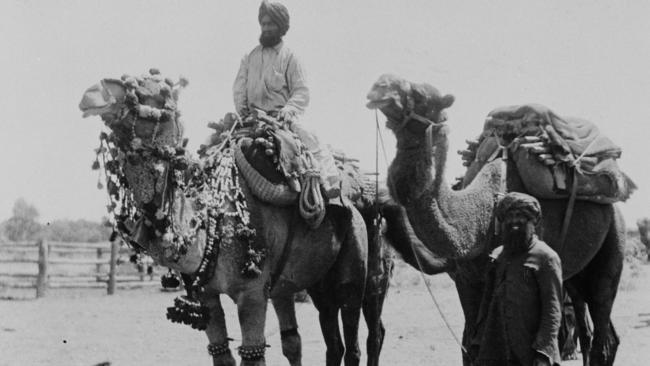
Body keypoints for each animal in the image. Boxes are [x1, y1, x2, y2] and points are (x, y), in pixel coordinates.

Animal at [79, 71, 420, 366]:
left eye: (153, 92)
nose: (90, 94)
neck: (208, 224)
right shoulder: (207, 294)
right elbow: (223, 354)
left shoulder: (252, 292)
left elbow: (253, 355)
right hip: (317, 282)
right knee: (326, 339)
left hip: (364, 274)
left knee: (365, 337)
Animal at [364, 74, 624, 366]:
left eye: (420, 94)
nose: (380, 85)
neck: (475, 220)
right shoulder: (465, 280)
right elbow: (470, 346)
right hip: (576, 275)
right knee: (598, 330)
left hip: (612, 248)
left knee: (603, 324)